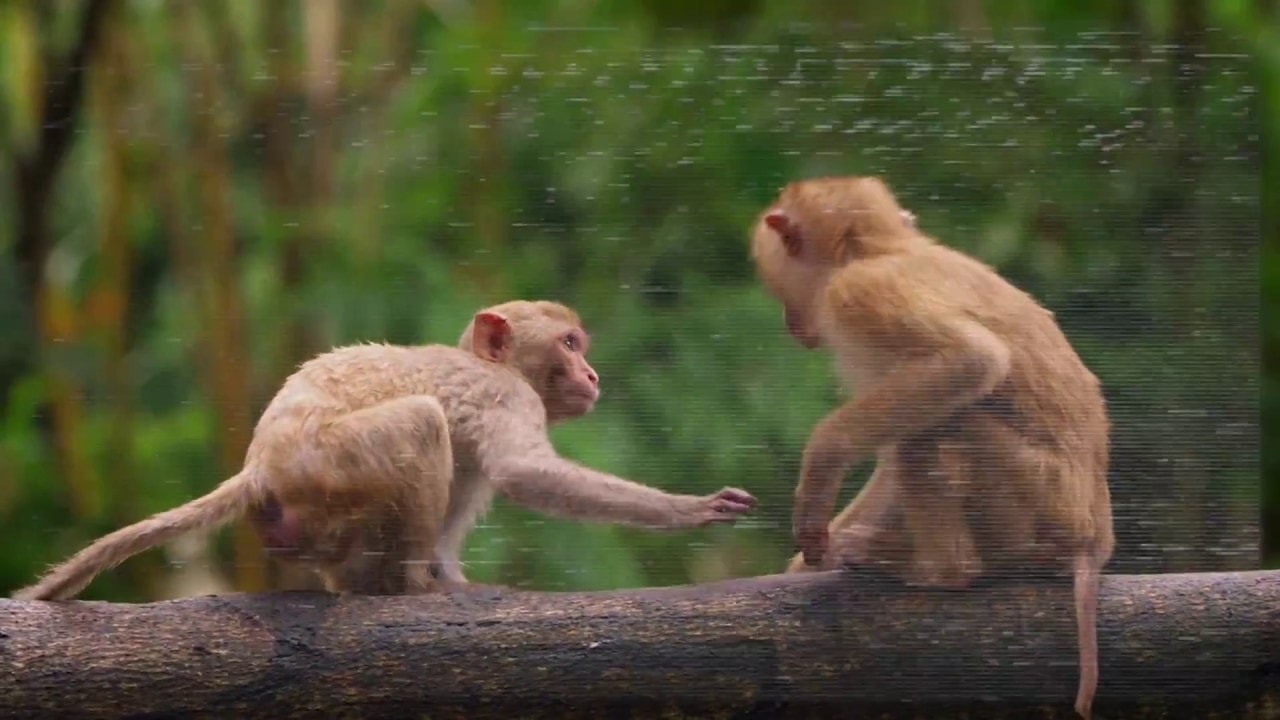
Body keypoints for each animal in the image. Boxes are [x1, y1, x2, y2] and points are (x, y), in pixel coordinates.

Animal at [15, 297, 752, 599]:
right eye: (569, 345)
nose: (592, 375)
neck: (491, 363)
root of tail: (259, 466)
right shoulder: (506, 398)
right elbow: (520, 470)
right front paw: (691, 509)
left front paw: (452, 574)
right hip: (327, 463)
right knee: (422, 421)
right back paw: (406, 587)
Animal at [747, 175, 1111, 717]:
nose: (790, 322)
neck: (882, 249)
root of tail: (1094, 537)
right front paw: (803, 564)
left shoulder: (858, 294)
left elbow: (970, 362)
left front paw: (822, 466)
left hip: (1039, 500)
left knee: (943, 427)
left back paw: (942, 571)